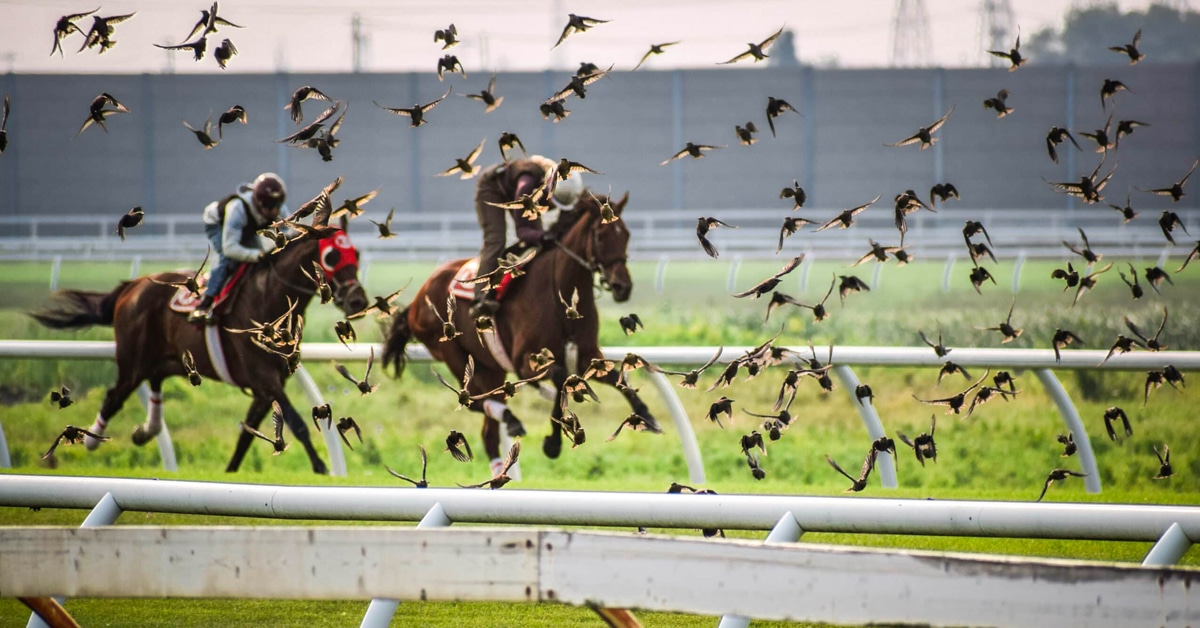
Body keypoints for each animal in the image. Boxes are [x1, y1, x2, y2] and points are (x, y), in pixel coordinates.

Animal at [31, 229, 369, 474]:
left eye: (356, 253)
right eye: (331, 256)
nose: (358, 301)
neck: (268, 297)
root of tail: (131, 286)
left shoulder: (265, 388)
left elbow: (247, 434)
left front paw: (231, 472)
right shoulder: (264, 378)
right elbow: (296, 423)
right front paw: (321, 467)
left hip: (163, 360)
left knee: (154, 384)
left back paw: (145, 430)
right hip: (133, 361)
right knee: (114, 396)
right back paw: (91, 441)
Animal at [382, 191, 658, 469]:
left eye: (626, 235)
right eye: (601, 236)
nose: (623, 286)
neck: (559, 291)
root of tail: (418, 298)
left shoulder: (587, 355)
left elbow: (614, 378)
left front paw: (646, 415)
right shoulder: (525, 360)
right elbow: (561, 378)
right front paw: (553, 442)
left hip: (489, 368)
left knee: (488, 430)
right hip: (453, 354)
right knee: (473, 400)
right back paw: (512, 419)